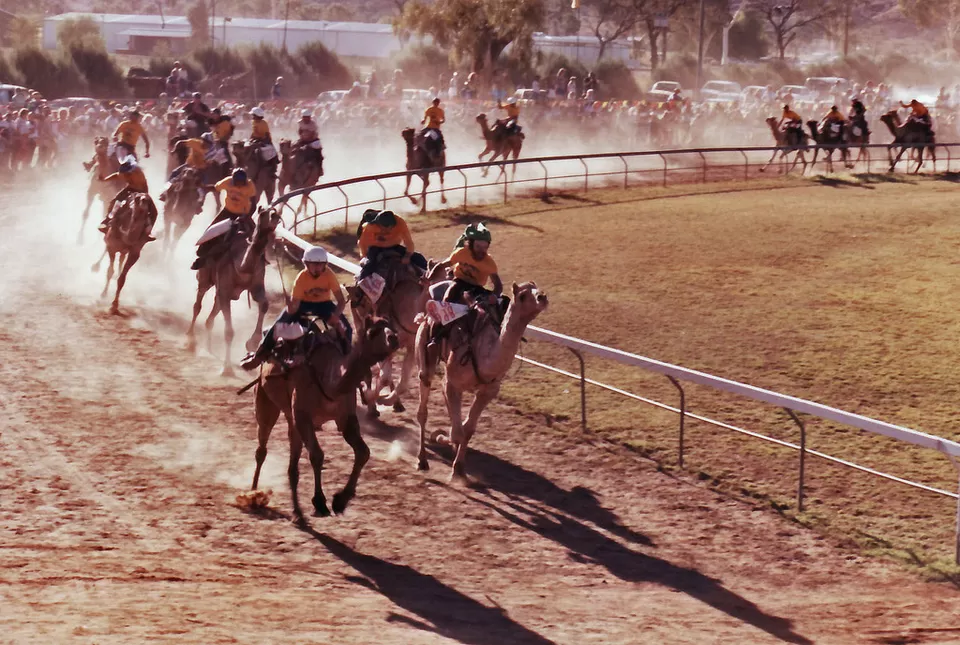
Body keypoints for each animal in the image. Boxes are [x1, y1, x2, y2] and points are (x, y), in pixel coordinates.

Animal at [185, 206, 282, 374]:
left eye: (275, 211)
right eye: (263, 213)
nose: (275, 216)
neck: (242, 266)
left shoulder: (256, 287)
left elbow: (264, 304)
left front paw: (252, 342)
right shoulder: (225, 289)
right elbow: (229, 332)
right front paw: (227, 369)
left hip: (221, 292)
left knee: (211, 315)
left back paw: (208, 347)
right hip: (204, 278)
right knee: (198, 305)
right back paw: (191, 341)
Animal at [249, 316, 400, 520]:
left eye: (392, 327)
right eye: (372, 332)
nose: (394, 339)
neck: (331, 382)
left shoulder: (345, 417)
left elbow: (363, 452)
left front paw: (340, 500)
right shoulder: (303, 416)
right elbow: (317, 455)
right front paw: (320, 503)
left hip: (291, 417)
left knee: (292, 461)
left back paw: (297, 512)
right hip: (265, 399)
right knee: (262, 447)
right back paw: (254, 494)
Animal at [412, 282, 548, 478]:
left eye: (536, 287)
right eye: (522, 295)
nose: (542, 297)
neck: (485, 355)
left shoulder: (488, 391)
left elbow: (467, 429)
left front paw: (459, 468)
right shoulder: (453, 382)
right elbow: (456, 432)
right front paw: (438, 436)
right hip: (424, 349)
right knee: (423, 407)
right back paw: (422, 460)